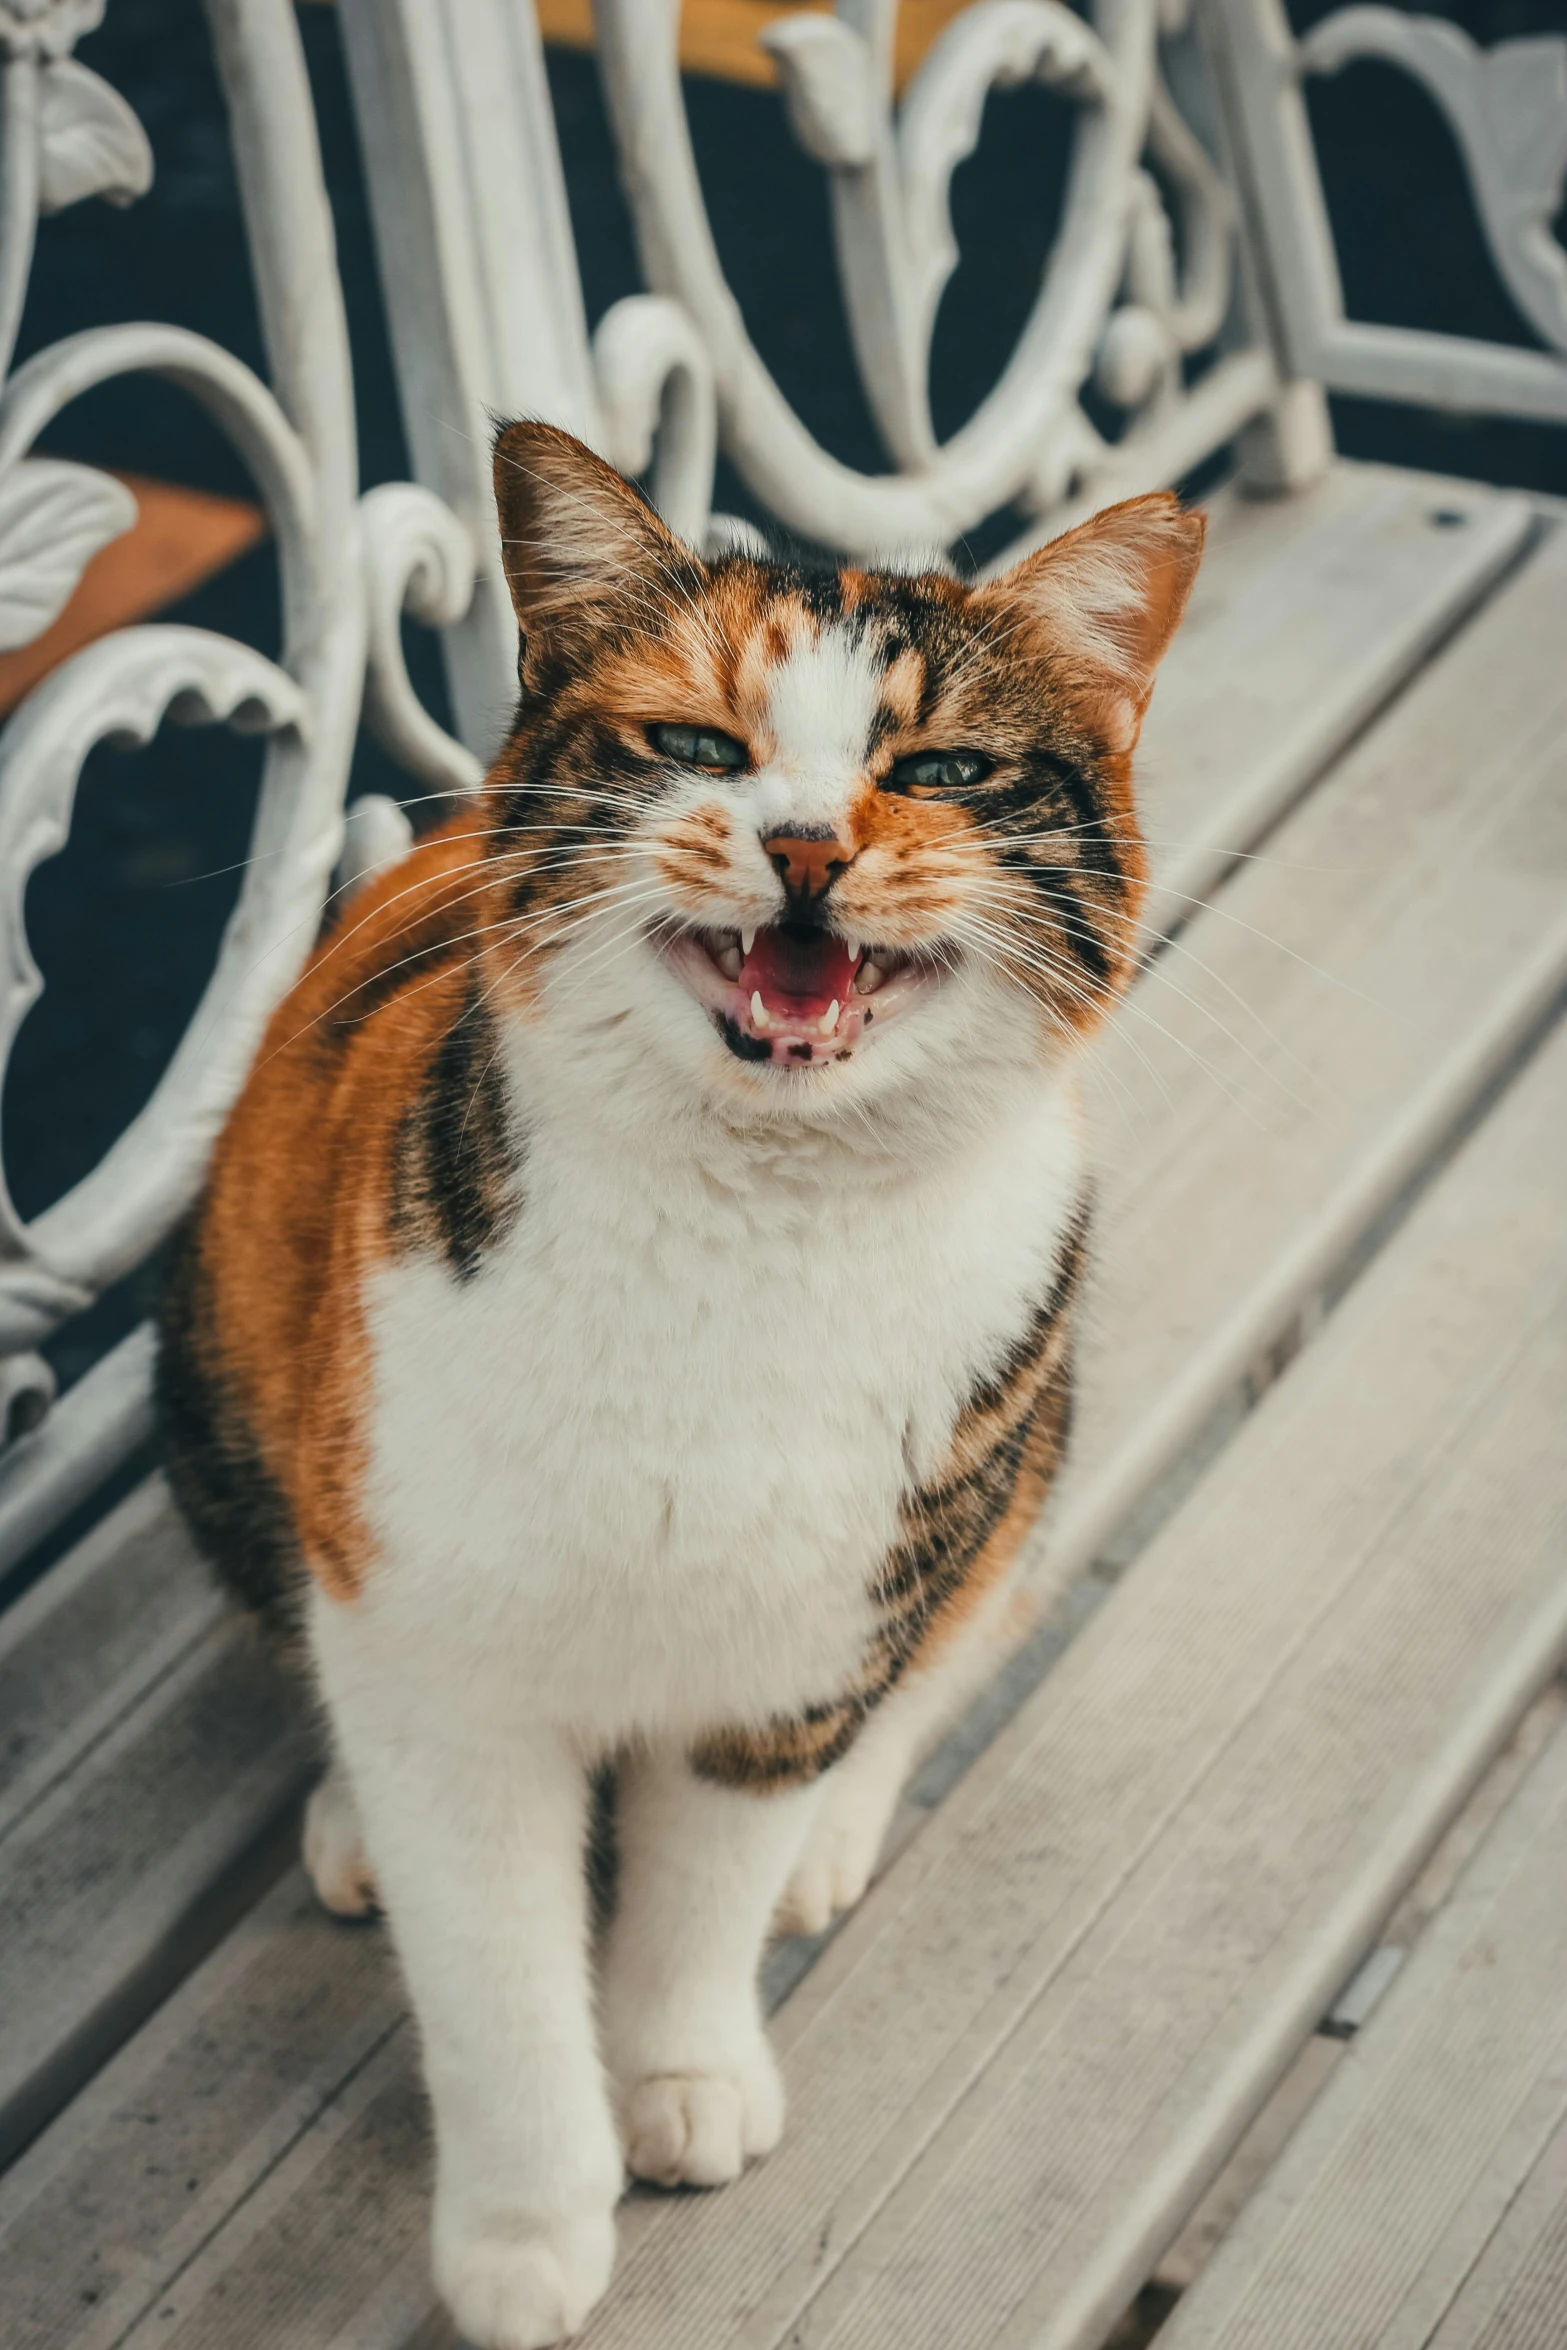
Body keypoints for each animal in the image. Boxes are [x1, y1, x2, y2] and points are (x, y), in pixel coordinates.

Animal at [159, 427, 1212, 2350]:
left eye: (940, 768)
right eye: (696, 747)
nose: (802, 839)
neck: (752, 1228)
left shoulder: (800, 1639)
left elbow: (701, 1899)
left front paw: (684, 2076)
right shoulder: (445, 1662)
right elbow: (494, 1974)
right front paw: (523, 2232)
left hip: (1024, 1444)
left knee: (963, 1631)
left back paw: (832, 1836)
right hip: (209, 1380)